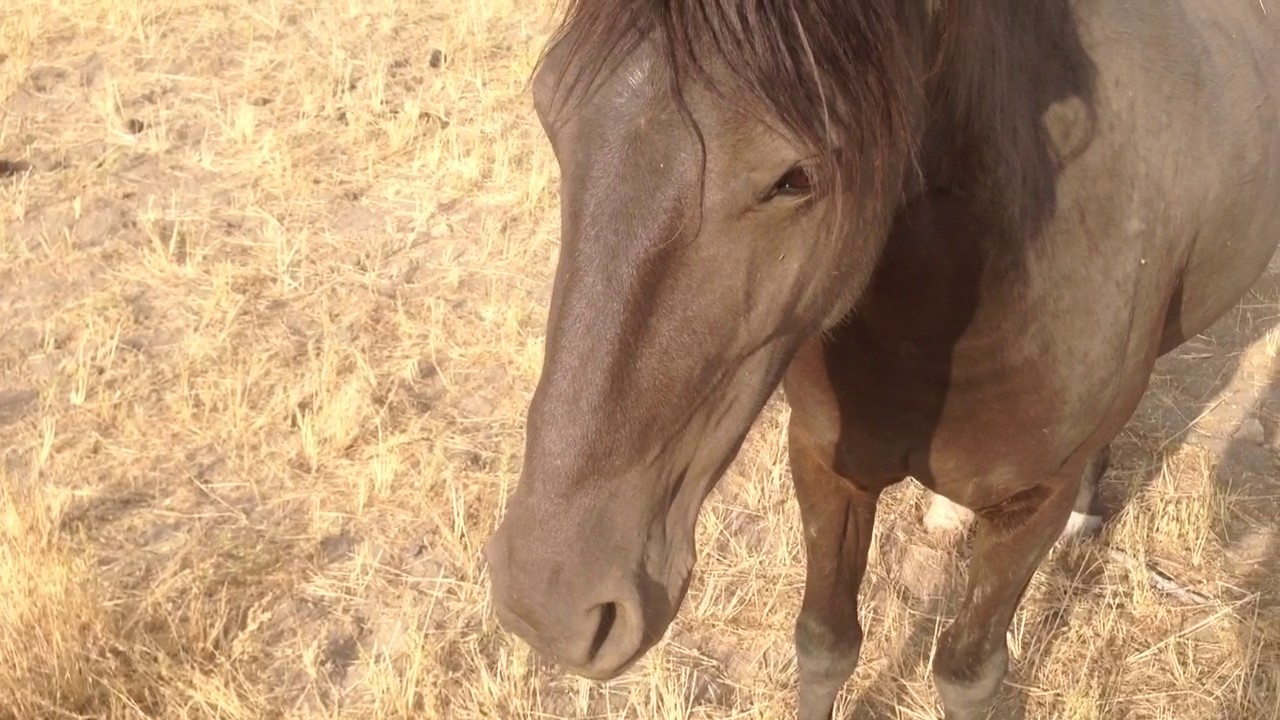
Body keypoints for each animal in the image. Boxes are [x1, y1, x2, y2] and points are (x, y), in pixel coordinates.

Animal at [483, 1, 1280, 717]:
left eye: (795, 177)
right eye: (548, 107)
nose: (547, 601)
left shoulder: (1028, 509)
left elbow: (968, 678)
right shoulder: (826, 462)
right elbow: (825, 644)